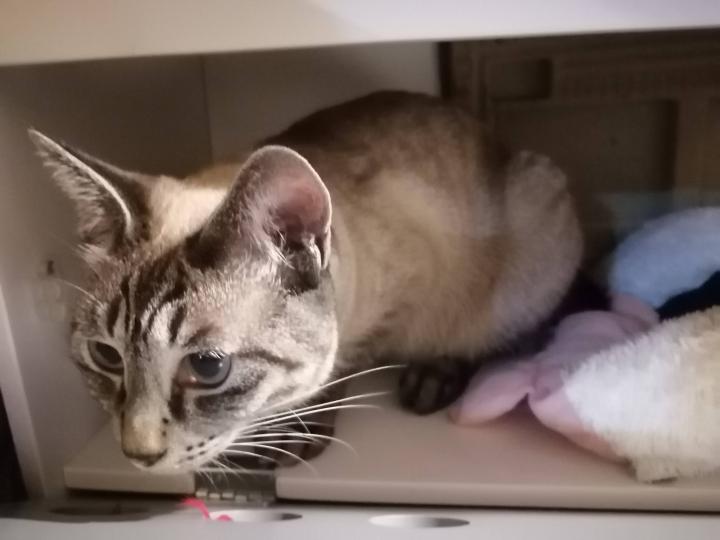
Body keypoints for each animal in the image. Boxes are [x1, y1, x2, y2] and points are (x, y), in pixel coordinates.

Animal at [31, 91, 582, 472]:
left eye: (208, 368)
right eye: (106, 356)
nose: (136, 455)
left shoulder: (390, 307)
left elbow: (331, 374)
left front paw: (295, 432)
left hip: (531, 253)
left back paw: (430, 379)